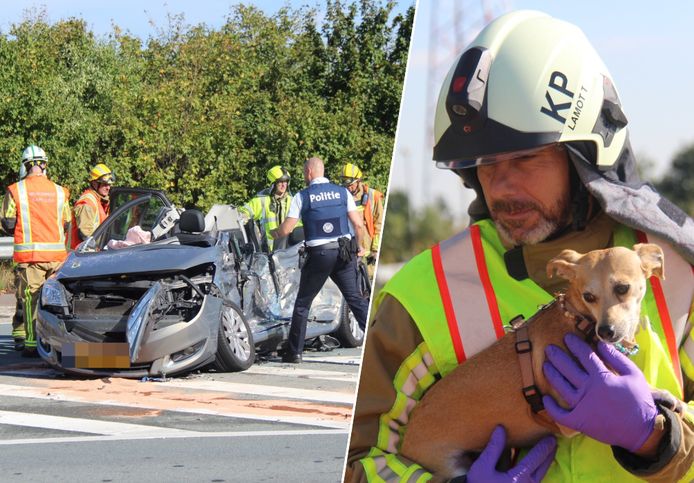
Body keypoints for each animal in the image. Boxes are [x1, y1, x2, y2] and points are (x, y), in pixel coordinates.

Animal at [400, 244, 668, 478]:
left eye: (622, 288)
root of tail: (406, 438)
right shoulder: (570, 419)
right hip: (450, 467)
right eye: (588, 296)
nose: (606, 331)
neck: (579, 321)